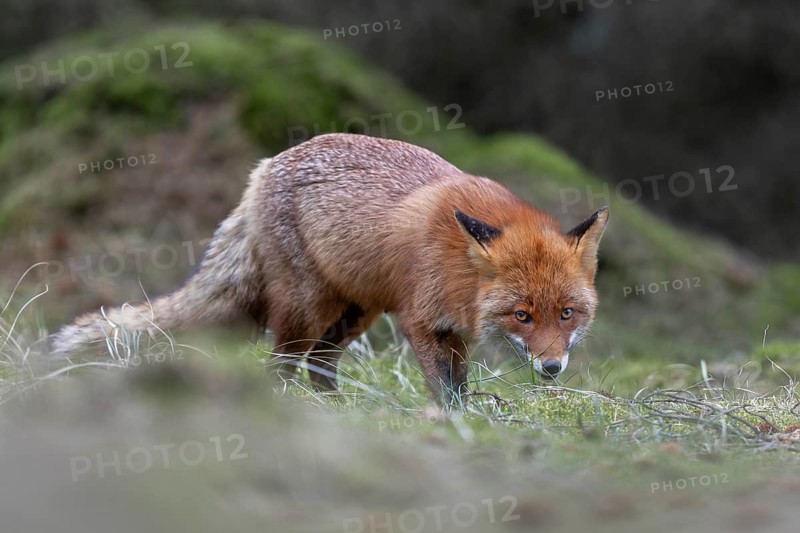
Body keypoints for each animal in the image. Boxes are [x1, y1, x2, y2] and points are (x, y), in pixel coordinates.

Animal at [51, 133, 608, 403]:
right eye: (522, 316)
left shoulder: (456, 332)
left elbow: (461, 384)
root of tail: (264, 167)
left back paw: (338, 406)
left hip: (354, 313)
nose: (552, 369)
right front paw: (450, 423)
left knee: (320, 365)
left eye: (567, 314)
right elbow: (445, 389)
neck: (461, 272)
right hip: (306, 308)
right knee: (281, 364)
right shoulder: (421, 322)